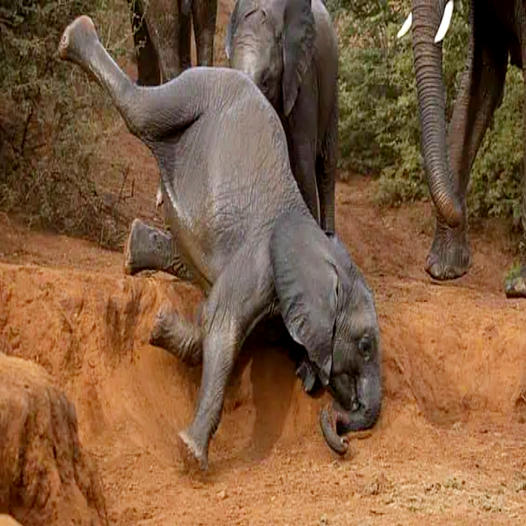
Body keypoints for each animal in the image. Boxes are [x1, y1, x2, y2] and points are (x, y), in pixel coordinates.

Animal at [226, 0, 338, 233]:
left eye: (266, 82)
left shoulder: (303, 78)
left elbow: (302, 162)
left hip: (332, 87)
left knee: (326, 163)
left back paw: (329, 234)